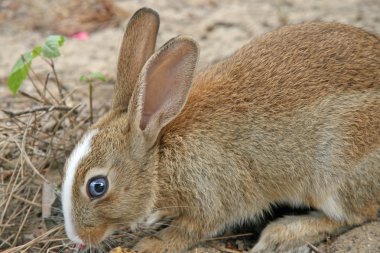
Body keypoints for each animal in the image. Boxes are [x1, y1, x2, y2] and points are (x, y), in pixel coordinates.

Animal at [60, 6, 380, 253]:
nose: (76, 237)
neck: (160, 161)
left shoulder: (210, 196)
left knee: (353, 215)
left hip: (337, 167)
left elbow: (190, 230)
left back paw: (280, 234)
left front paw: (150, 245)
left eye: (97, 186)